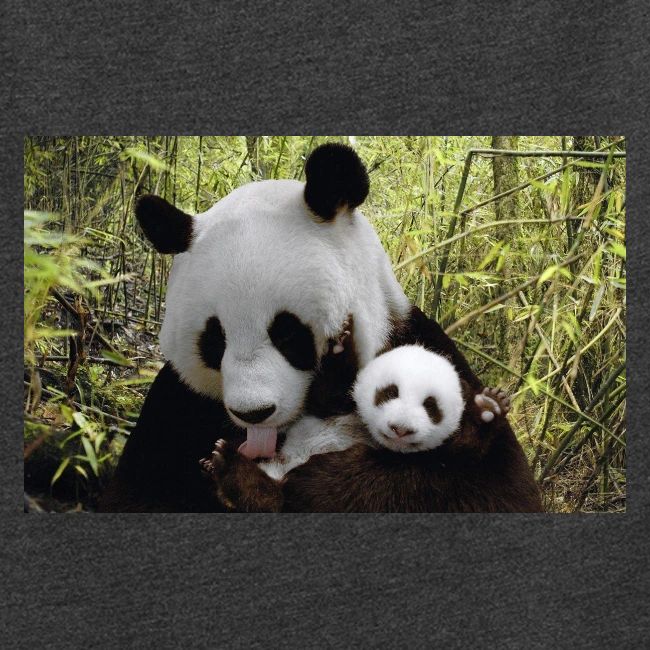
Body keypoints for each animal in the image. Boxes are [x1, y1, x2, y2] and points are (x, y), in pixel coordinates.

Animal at [99, 143, 541, 513]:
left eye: (287, 333)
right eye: (214, 340)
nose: (254, 413)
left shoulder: (421, 347)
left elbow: (489, 488)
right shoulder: (178, 405)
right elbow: (139, 493)